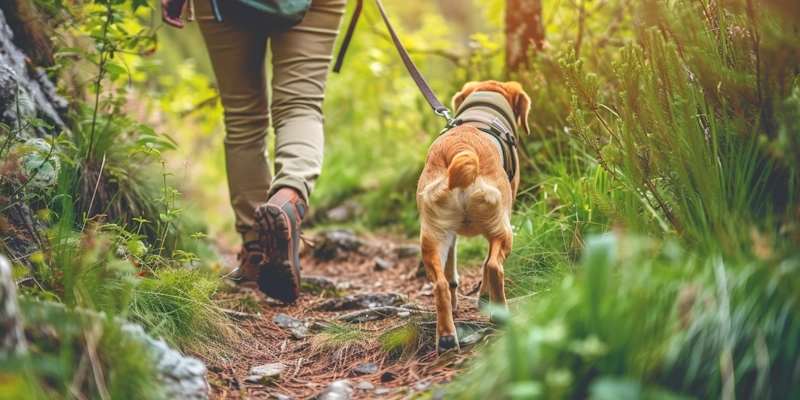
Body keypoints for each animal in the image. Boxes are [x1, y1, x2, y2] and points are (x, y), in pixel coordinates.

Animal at [416, 80, 528, 354]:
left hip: (433, 238)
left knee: (441, 284)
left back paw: (446, 337)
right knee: (493, 267)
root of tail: (461, 148)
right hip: (504, 230)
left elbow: (450, 274)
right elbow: (487, 264)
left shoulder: (451, 235)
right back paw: (498, 313)